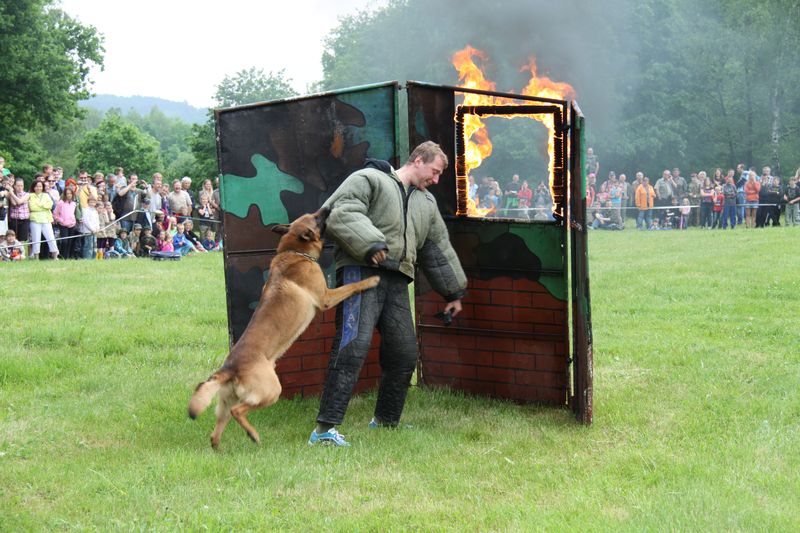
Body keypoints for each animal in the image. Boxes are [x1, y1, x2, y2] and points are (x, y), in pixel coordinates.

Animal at [188, 206, 378, 446]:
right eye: (316, 217)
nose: (328, 207)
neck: (295, 252)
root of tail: (229, 367)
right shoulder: (326, 297)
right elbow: (352, 286)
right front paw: (371, 281)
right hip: (271, 391)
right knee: (238, 411)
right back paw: (253, 435)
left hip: (225, 403)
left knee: (217, 430)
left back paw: (221, 446)